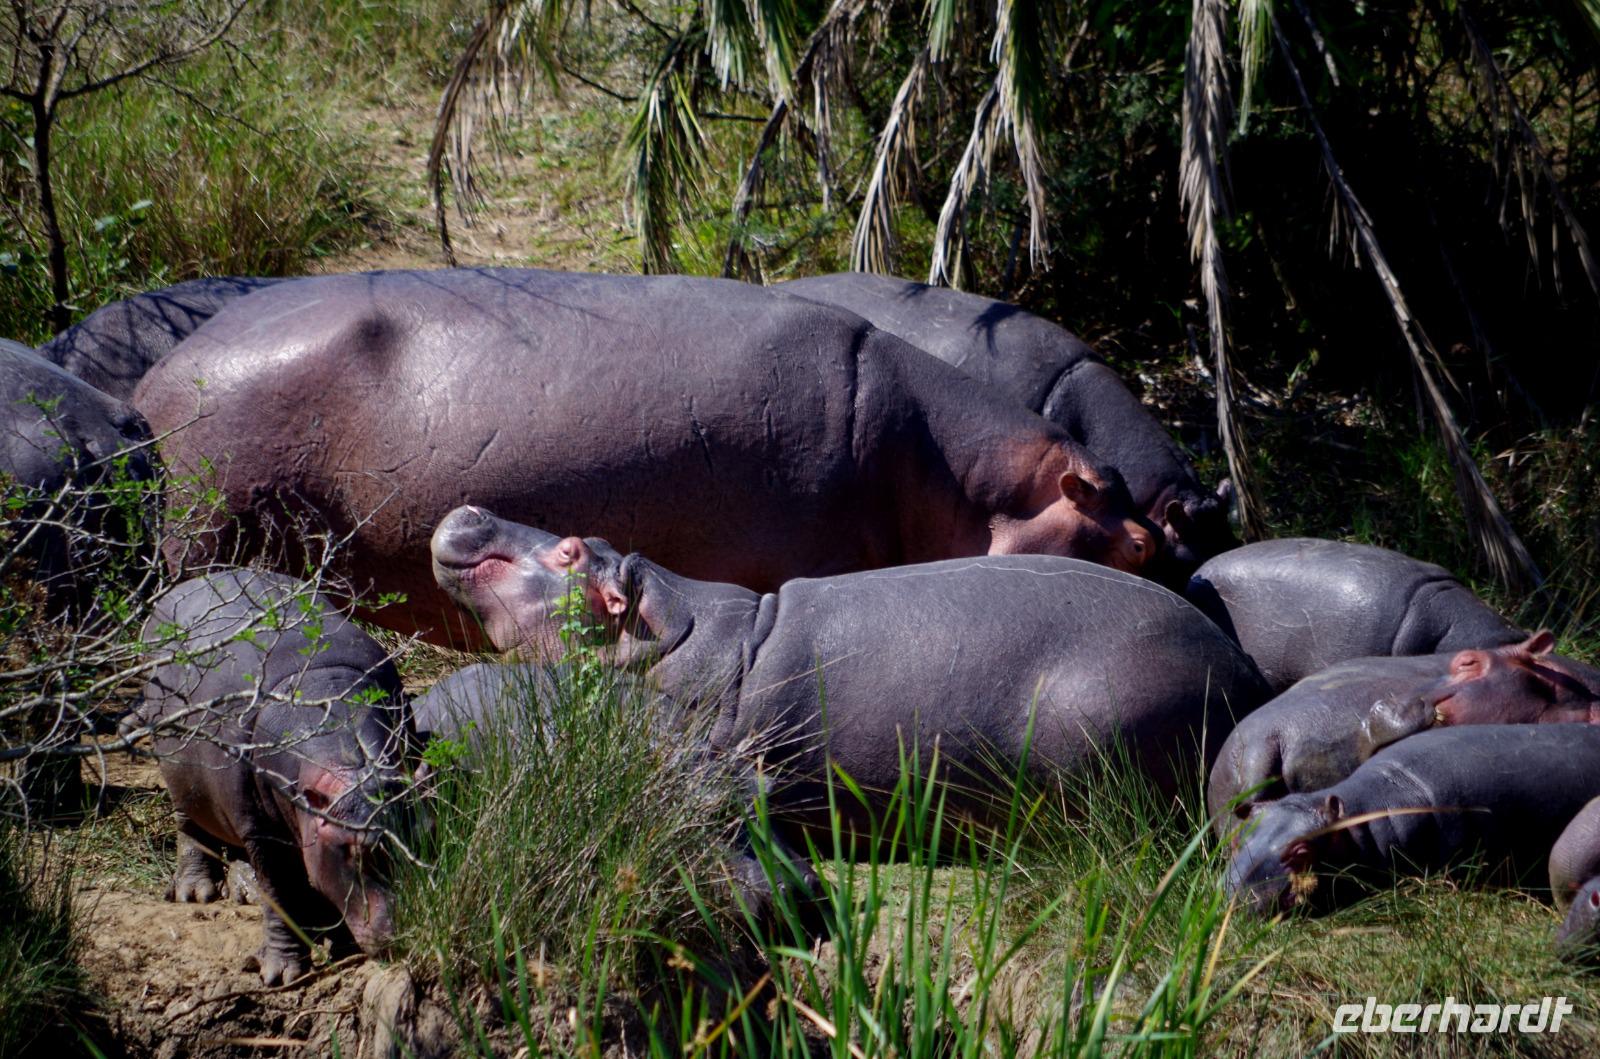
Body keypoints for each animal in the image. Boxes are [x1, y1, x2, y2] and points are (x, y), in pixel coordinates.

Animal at [128, 569, 410, 984]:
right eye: (354, 851)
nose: (406, 934)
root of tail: (189, 584)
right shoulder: (264, 830)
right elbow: (281, 895)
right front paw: (280, 974)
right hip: (181, 776)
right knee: (190, 828)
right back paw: (196, 892)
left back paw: (242, 891)